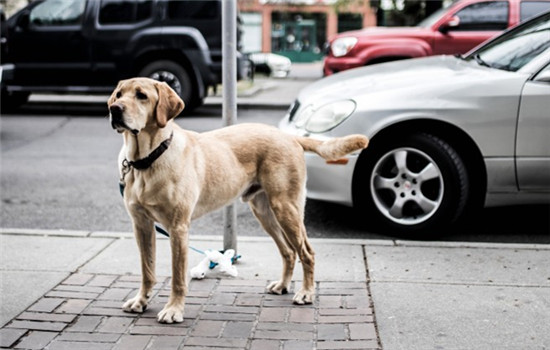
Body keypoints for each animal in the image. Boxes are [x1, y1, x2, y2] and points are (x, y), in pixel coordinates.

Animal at [108, 78, 370, 324]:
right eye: (119, 94)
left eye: (141, 95)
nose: (114, 109)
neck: (147, 160)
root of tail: (289, 136)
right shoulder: (142, 225)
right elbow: (147, 270)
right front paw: (141, 301)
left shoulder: (178, 227)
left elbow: (178, 277)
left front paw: (173, 310)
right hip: (265, 212)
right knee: (288, 252)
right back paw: (283, 285)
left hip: (287, 208)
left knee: (306, 251)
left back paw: (306, 292)